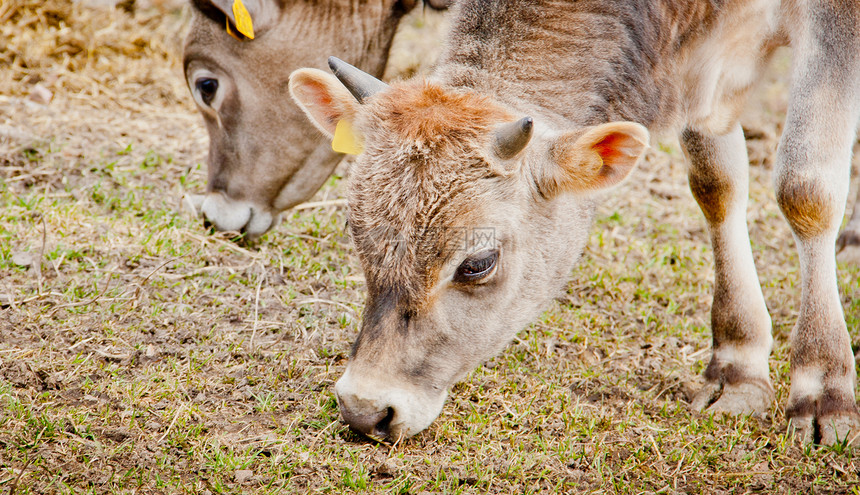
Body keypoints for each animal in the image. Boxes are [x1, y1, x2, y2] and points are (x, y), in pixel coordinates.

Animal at [290, 0, 860, 444]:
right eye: (357, 232)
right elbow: (716, 182)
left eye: (478, 262)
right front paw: (738, 369)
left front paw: (824, 391)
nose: (365, 408)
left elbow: (805, 188)